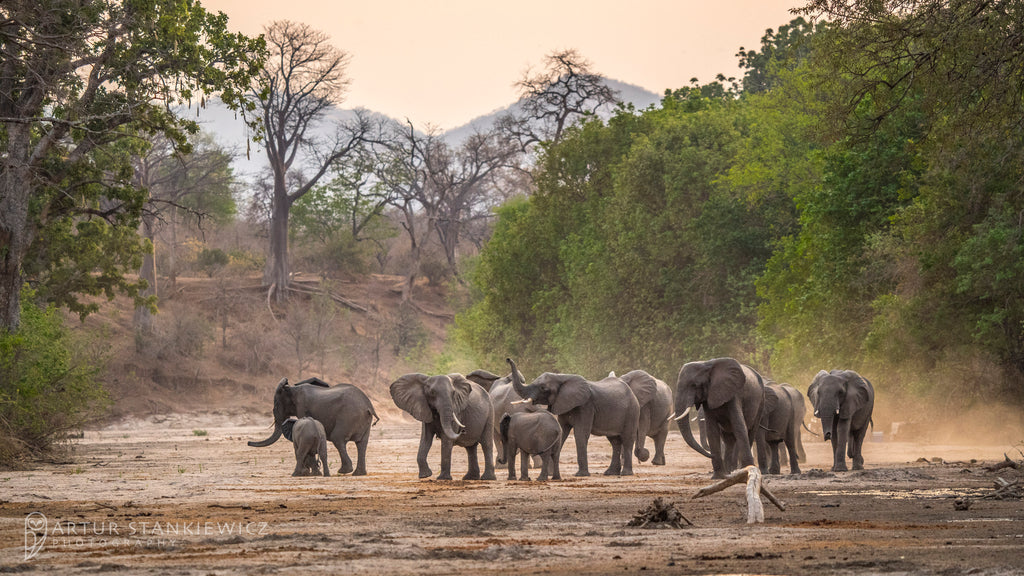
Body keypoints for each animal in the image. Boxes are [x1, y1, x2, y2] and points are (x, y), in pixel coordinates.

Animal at [248, 377, 379, 475]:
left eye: (276, 404)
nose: (248, 442)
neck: (292, 388)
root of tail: (369, 406)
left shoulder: (302, 406)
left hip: (348, 416)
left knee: (338, 438)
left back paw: (344, 471)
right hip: (363, 421)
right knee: (361, 444)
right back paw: (358, 473)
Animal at [507, 358, 640, 477]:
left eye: (543, 388)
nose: (508, 359)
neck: (562, 377)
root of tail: (632, 393)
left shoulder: (586, 406)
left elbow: (580, 433)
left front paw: (581, 475)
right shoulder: (563, 404)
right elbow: (562, 431)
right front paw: (550, 474)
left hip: (632, 412)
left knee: (627, 439)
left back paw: (626, 473)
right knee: (614, 441)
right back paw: (610, 473)